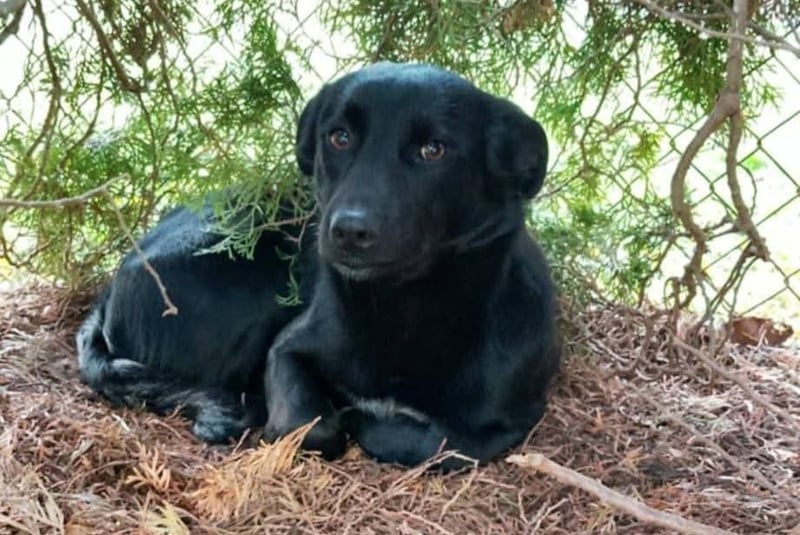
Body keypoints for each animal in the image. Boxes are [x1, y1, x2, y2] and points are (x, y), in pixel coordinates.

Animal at [76, 62, 560, 469]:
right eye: (339, 137)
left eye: (433, 149)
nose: (348, 230)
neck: (400, 306)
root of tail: (114, 282)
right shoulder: (286, 350)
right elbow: (310, 426)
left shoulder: (505, 423)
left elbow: (433, 443)